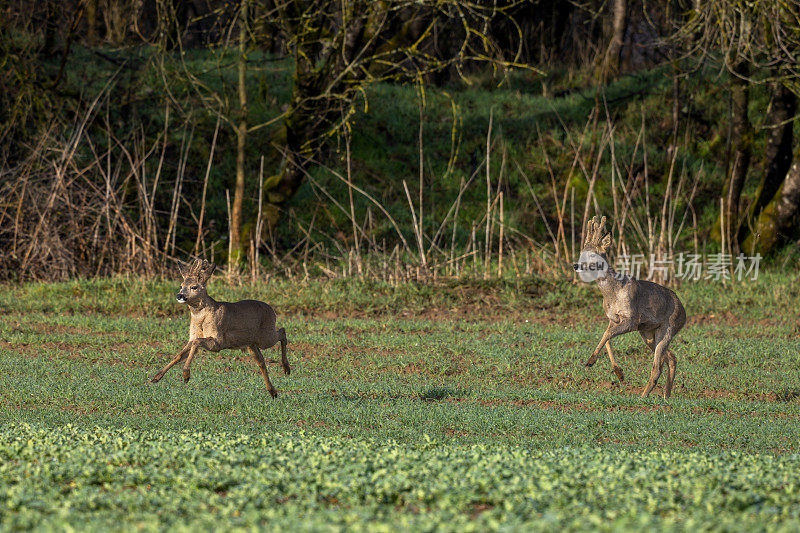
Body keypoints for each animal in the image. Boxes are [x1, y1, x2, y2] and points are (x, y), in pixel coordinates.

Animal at [150, 258, 290, 394]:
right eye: (181, 285)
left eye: (194, 286)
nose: (180, 295)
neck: (201, 319)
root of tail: (272, 311)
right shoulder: (193, 337)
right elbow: (179, 355)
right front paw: (156, 377)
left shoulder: (218, 341)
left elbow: (196, 342)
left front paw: (185, 375)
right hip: (251, 344)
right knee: (261, 362)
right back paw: (273, 391)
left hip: (265, 337)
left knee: (282, 332)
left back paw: (286, 369)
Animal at [568, 215, 688, 394]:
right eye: (581, 254)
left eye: (594, 255)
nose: (576, 265)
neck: (614, 293)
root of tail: (684, 313)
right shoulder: (613, 319)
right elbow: (607, 337)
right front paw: (619, 373)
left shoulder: (632, 319)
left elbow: (607, 334)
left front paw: (590, 361)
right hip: (648, 333)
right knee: (671, 359)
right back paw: (666, 395)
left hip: (668, 328)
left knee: (657, 367)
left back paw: (644, 396)